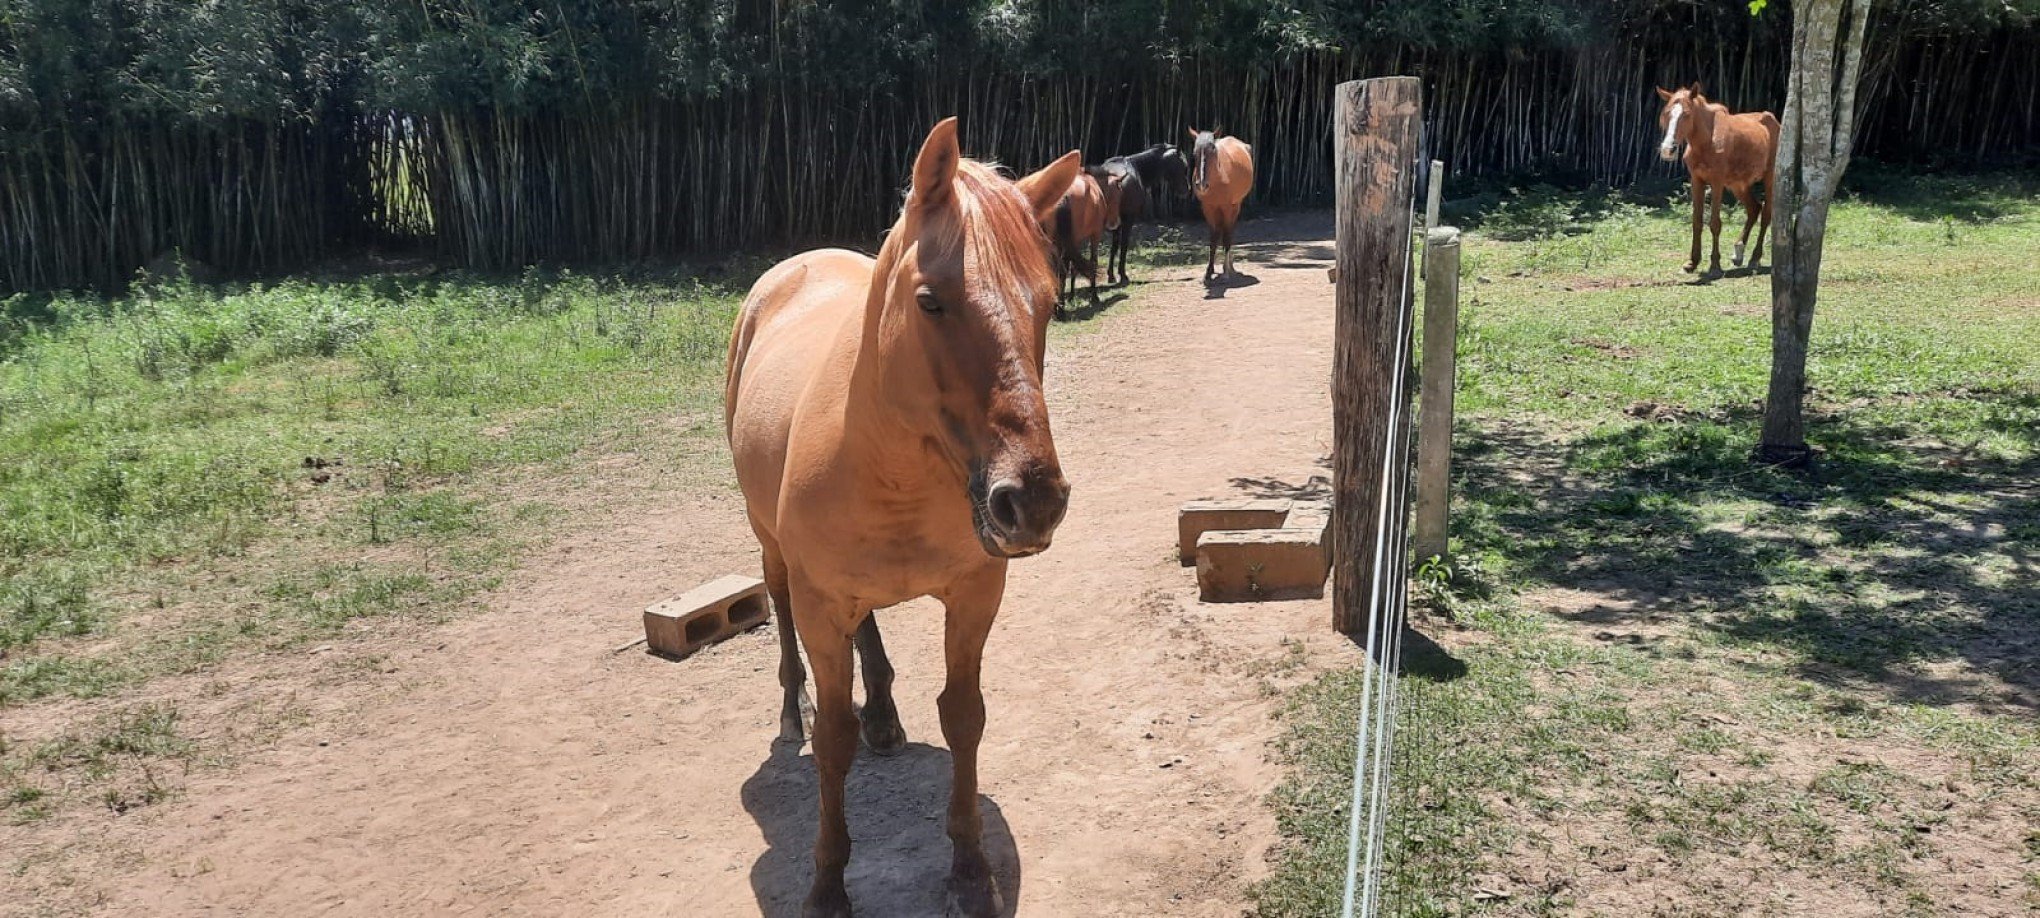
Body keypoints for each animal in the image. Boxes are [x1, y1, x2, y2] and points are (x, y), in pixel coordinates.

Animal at [730, 118, 1085, 913]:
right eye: (930, 301)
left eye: (1049, 304)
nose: (1033, 501)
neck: (893, 469)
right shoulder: (822, 601)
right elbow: (834, 742)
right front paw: (827, 884)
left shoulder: (976, 594)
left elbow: (964, 714)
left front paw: (969, 870)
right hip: (773, 551)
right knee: (782, 611)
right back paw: (792, 711)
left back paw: (884, 716)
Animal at [1191, 126, 1248, 279]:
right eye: (1194, 152)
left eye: (1213, 151)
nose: (1202, 185)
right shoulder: (1208, 208)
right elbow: (1213, 238)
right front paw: (1209, 271)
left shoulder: (1227, 207)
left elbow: (1227, 238)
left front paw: (1226, 272)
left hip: (1236, 206)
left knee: (1229, 232)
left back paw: (1229, 268)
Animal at [1664, 83, 1778, 273]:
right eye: (1667, 114)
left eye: (1686, 114)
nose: (1668, 149)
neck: (1706, 141)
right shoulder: (1697, 180)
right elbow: (1696, 221)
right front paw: (1692, 263)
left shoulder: (1717, 182)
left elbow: (1715, 223)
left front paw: (1715, 264)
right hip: (1738, 184)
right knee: (1754, 208)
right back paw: (1738, 253)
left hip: (1769, 178)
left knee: (1766, 215)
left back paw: (1754, 258)